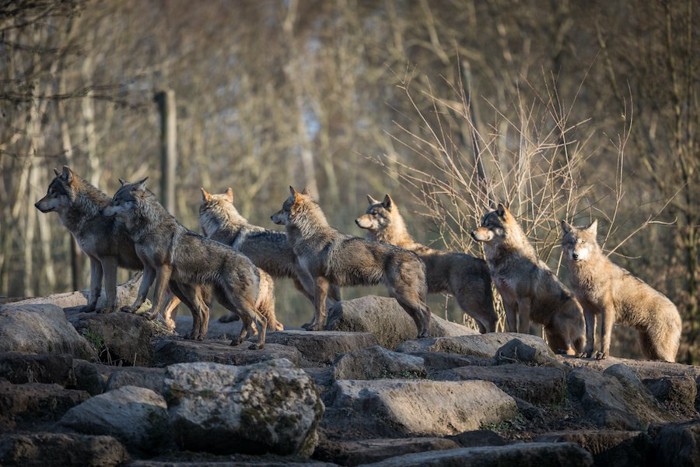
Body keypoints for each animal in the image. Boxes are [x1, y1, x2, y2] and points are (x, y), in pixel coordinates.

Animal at [103, 177, 268, 350]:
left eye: (116, 200)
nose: (101, 211)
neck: (148, 228)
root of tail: (253, 266)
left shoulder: (162, 268)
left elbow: (156, 296)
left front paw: (151, 315)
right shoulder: (148, 268)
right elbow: (141, 293)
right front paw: (132, 310)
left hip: (232, 299)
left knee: (260, 319)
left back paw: (258, 345)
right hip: (217, 298)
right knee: (231, 315)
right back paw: (233, 340)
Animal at [270, 186, 430, 336]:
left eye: (283, 208)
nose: (271, 216)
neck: (309, 235)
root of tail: (417, 257)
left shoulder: (319, 280)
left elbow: (319, 308)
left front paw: (315, 328)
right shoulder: (326, 284)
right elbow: (321, 308)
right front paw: (314, 326)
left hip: (403, 295)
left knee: (425, 310)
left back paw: (425, 334)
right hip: (400, 298)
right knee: (417, 315)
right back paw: (419, 335)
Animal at [356, 196, 498, 334]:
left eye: (374, 213)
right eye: (367, 211)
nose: (356, 220)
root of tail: (481, 262)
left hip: (468, 302)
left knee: (491, 319)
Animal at [470, 204, 584, 354]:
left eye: (489, 225)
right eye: (482, 223)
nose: (471, 232)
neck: (505, 258)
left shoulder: (523, 299)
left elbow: (523, 329)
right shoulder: (507, 300)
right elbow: (512, 327)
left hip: (559, 323)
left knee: (572, 351)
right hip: (551, 333)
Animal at [560, 220, 680, 362]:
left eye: (583, 242)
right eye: (571, 242)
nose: (575, 255)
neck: (586, 275)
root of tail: (677, 312)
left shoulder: (607, 309)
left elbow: (604, 334)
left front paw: (603, 354)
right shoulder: (588, 310)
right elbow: (590, 335)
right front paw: (586, 353)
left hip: (661, 350)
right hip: (648, 349)